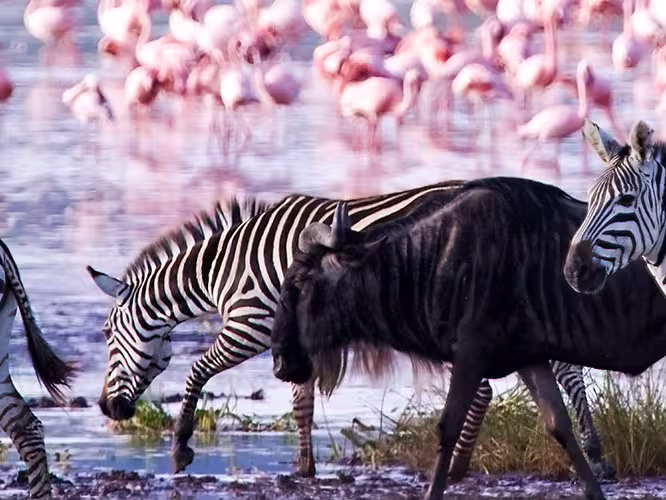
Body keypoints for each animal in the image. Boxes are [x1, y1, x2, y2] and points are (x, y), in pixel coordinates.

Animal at [89, 182, 611, 479]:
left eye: (109, 335)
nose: (106, 408)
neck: (225, 268)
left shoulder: (250, 324)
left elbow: (197, 373)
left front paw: (180, 449)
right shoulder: (292, 338)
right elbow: (301, 405)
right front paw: (304, 469)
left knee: (501, 383)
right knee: (558, 371)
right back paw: (593, 452)